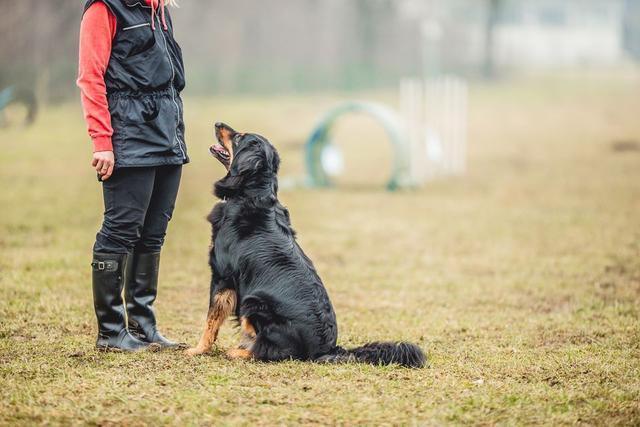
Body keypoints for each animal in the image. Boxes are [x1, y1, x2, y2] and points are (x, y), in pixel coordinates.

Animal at [185, 122, 424, 370]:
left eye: (239, 137)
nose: (218, 124)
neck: (251, 193)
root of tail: (327, 349)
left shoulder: (222, 277)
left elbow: (211, 320)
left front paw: (198, 350)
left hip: (253, 302)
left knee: (272, 351)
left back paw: (239, 351)